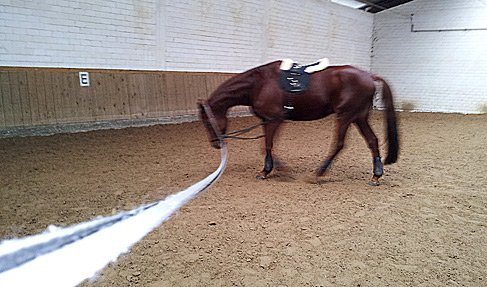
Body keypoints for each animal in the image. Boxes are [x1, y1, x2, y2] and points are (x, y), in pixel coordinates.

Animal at [198, 59, 400, 186]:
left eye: (207, 121)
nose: (215, 144)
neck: (260, 83)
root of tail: (369, 76)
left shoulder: (275, 119)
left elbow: (267, 146)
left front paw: (271, 171)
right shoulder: (266, 120)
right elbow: (266, 146)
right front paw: (271, 169)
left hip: (345, 116)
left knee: (339, 144)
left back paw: (318, 173)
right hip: (358, 117)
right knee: (372, 140)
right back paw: (376, 175)